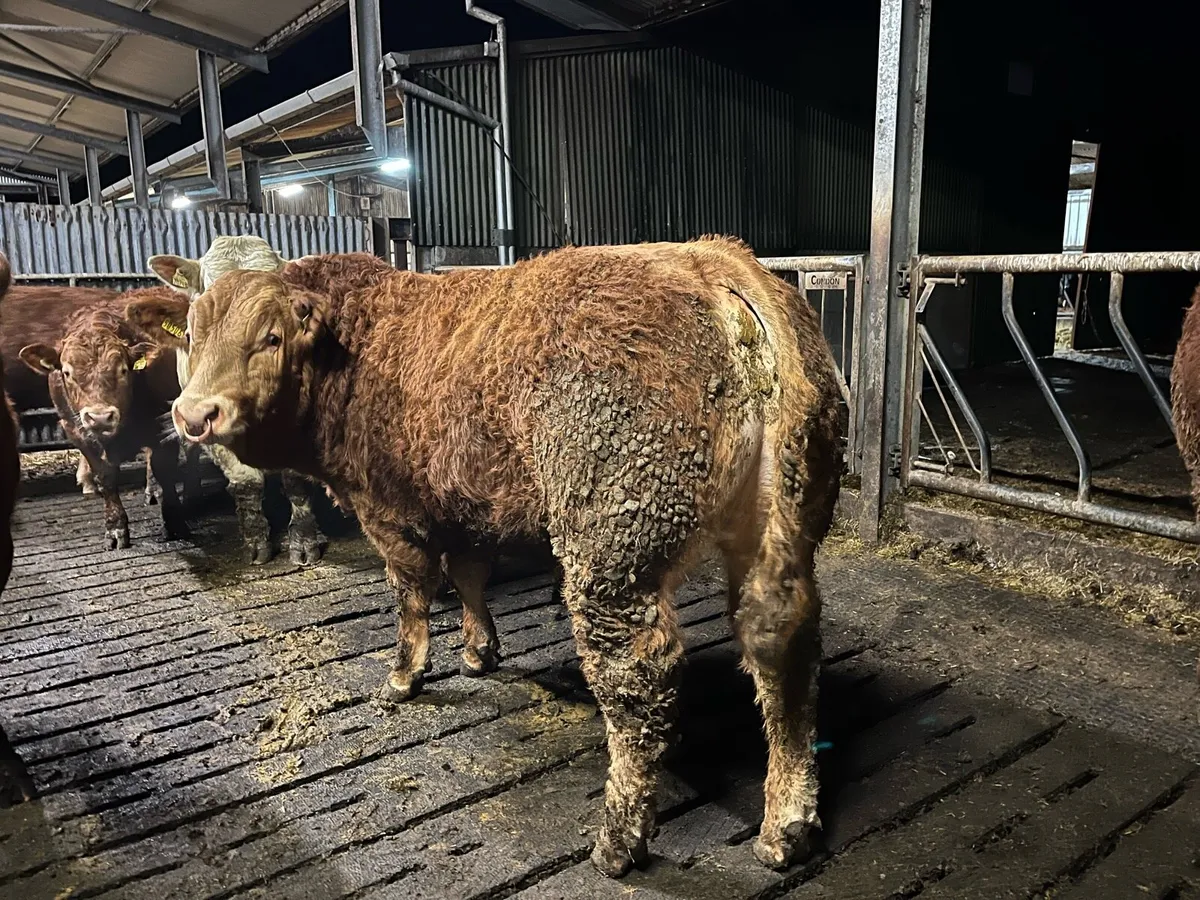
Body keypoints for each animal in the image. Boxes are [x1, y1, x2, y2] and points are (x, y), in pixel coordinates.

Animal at [19, 288, 192, 549]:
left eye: (123, 370)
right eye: (67, 372)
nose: (100, 417)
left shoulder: (163, 424)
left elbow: (165, 469)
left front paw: (174, 522)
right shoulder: (76, 431)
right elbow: (105, 476)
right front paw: (115, 528)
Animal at [138, 235, 326, 566]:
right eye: (194, 329)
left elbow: (296, 481)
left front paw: (304, 542)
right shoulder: (202, 416)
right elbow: (246, 482)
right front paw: (256, 541)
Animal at [172, 238, 843, 877]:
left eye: (271, 336)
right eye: (193, 335)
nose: (193, 413)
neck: (357, 346)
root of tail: (712, 261)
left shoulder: (388, 510)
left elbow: (412, 594)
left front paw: (405, 674)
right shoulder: (465, 504)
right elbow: (469, 576)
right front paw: (478, 650)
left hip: (611, 546)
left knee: (638, 679)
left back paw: (618, 839)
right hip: (783, 521)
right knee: (782, 640)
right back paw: (787, 821)